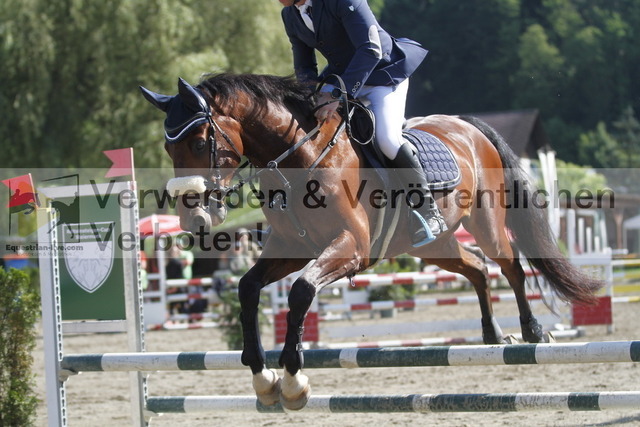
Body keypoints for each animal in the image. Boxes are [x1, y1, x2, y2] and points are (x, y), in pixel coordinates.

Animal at [140, 73, 603, 410]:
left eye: (200, 141)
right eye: (167, 146)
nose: (191, 217)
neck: (298, 159)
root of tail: (466, 125)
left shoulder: (350, 248)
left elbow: (301, 291)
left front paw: (292, 379)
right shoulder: (291, 249)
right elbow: (248, 287)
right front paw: (262, 377)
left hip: (486, 223)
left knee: (509, 266)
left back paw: (532, 330)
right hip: (432, 245)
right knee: (474, 266)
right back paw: (492, 335)